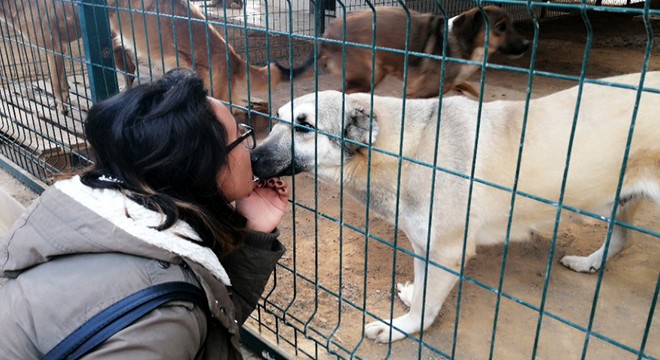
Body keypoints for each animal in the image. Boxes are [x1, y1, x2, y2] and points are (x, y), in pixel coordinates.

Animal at [249, 71, 660, 344]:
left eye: (304, 127)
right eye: (278, 119)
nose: (250, 158)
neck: (407, 148)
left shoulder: (448, 251)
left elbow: (426, 309)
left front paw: (400, 328)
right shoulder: (422, 243)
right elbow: (422, 290)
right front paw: (412, 295)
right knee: (621, 239)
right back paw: (588, 263)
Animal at [318, 5, 528, 98]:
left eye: (512, 24)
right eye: (500, 27)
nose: (527, 44)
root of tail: (328, 32)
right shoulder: (416, 94)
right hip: (369, 75)